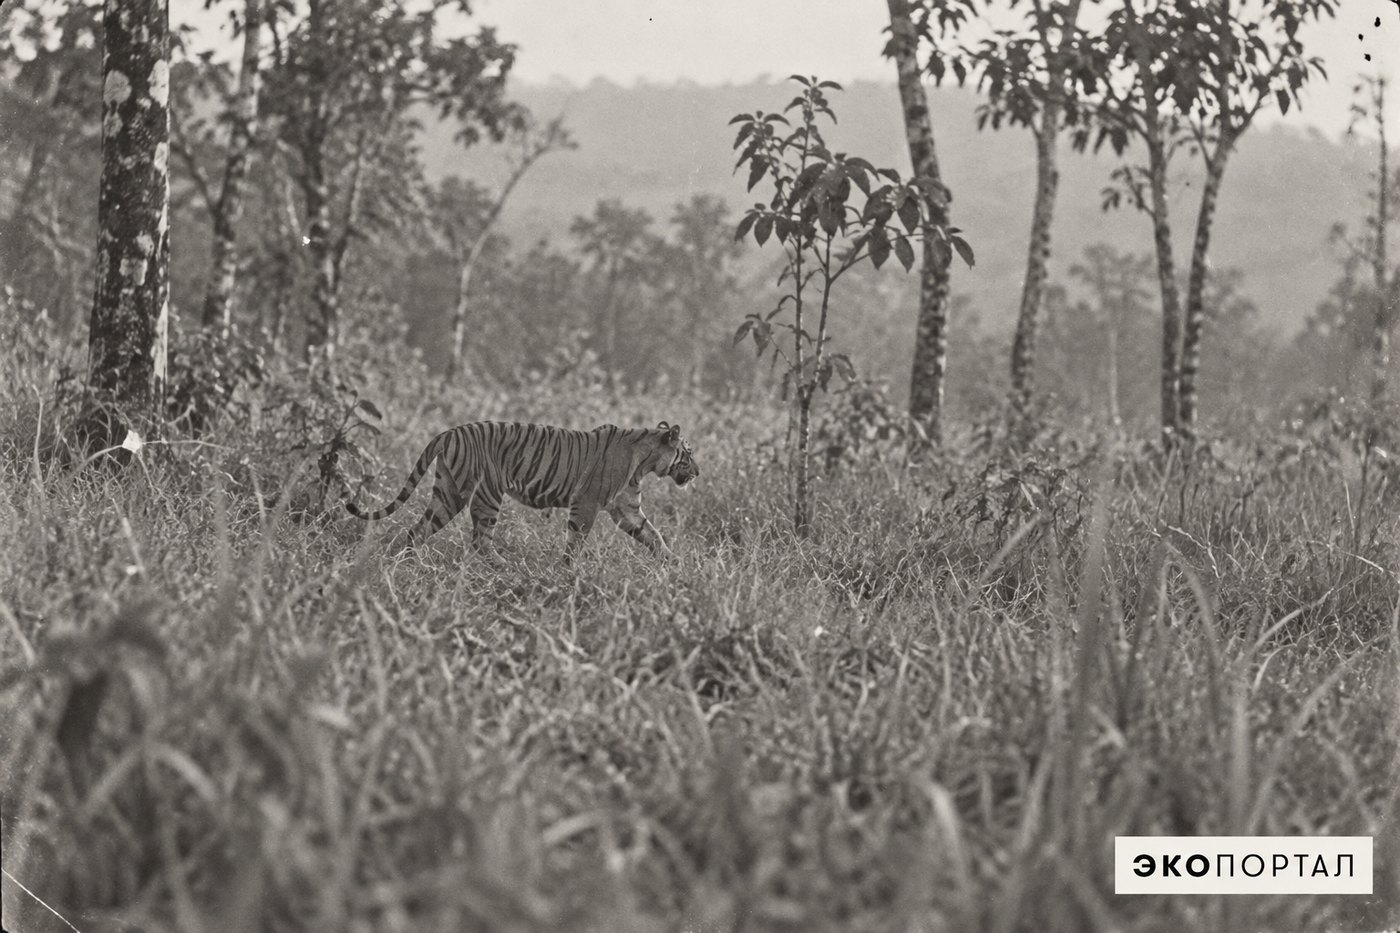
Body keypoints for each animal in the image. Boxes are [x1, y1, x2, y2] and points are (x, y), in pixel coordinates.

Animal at [346, 420, 698, 558]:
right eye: (690, 452)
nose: (698, 472)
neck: (644, 464)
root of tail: (449, 432)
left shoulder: (627, 509)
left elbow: (653, 534)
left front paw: (671, 562)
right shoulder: (586, 504)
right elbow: (576, 542)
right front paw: (568, 572)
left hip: (447, 491)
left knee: (419, 529)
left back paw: (407, 560)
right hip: (483, 492)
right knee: (480, 539)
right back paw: (504, 567)